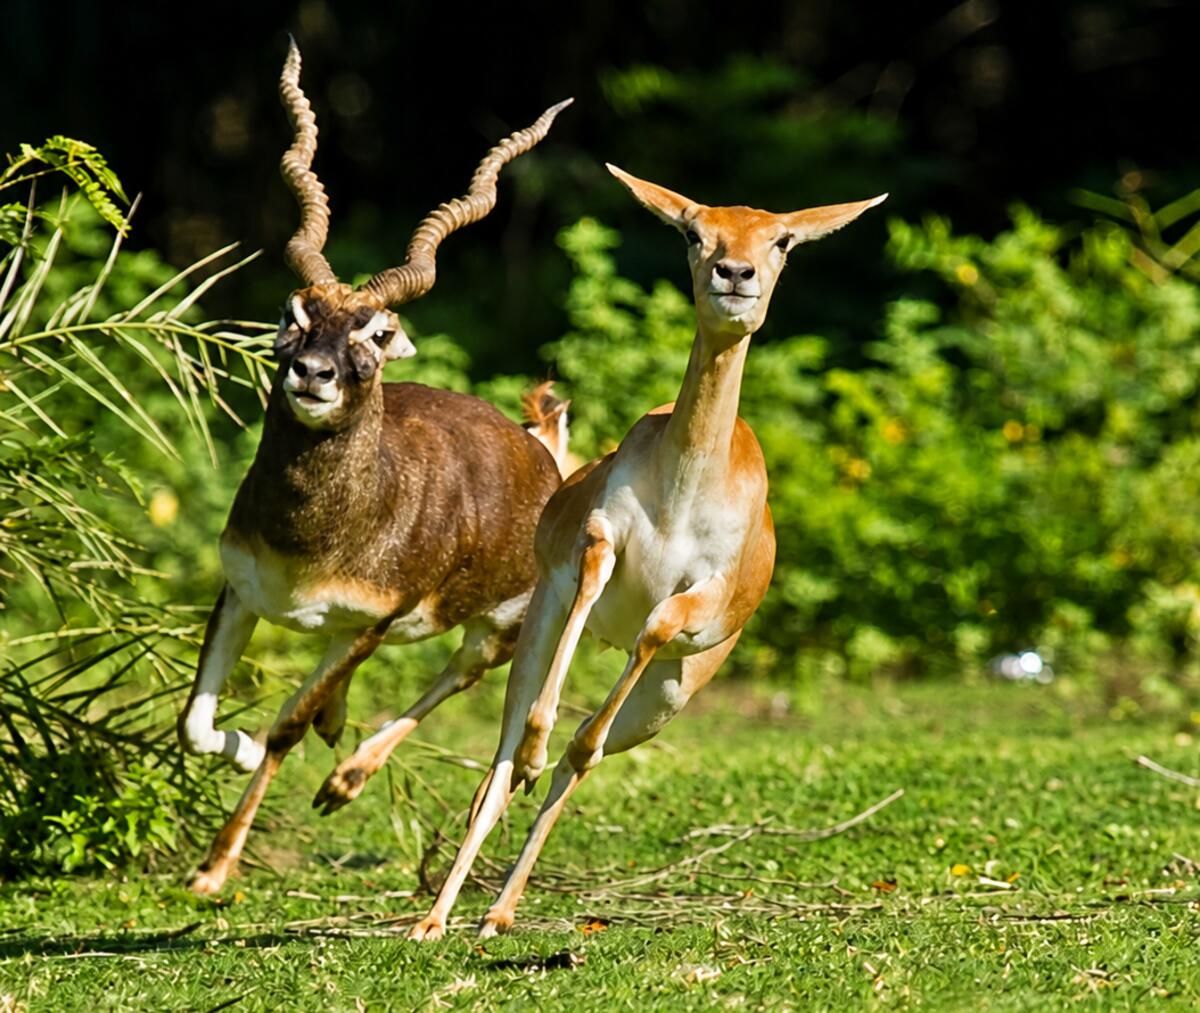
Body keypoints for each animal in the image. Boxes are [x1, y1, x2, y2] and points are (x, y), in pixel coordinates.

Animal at [177, 39, 572, 895]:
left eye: (378, 332)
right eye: (295, 313)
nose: (313, 373)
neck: (315, 539)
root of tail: (541, 449)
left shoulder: (372, 621)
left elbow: (285, 723)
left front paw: (216, 866)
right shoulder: (241, 587)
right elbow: (195, 721)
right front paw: (239, 751)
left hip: (500, 627)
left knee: (460, 671)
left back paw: (347, 776)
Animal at [406, 166, 886, 940]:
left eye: (781, 238)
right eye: (694, 231)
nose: (735, 273)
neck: (685, 486)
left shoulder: (700, 595)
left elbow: (639, 655)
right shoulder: (596, 542)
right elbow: (557, 684)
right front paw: (536, 750)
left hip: (669, 696)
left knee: (586, 752)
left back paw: (498, 913)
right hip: (537, 628)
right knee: (499, 764)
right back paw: (440, 916)